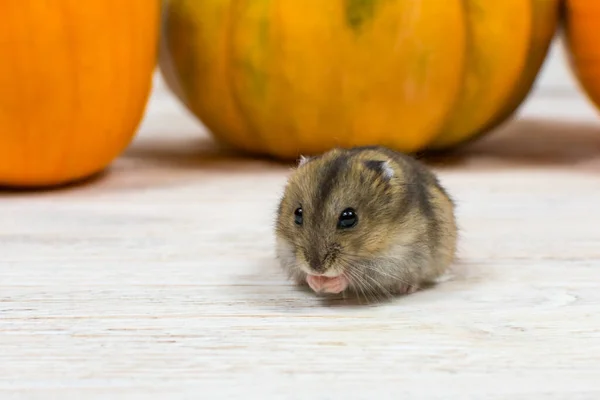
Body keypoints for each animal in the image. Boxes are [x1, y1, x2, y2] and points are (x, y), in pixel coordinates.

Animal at [274, 145, 458, 302]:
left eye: (349, 217)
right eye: (298, 213)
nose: (317, 269)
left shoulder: (392, 259)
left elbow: (351, 275)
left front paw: (326, 283)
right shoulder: (285, 249)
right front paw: (315, 282)